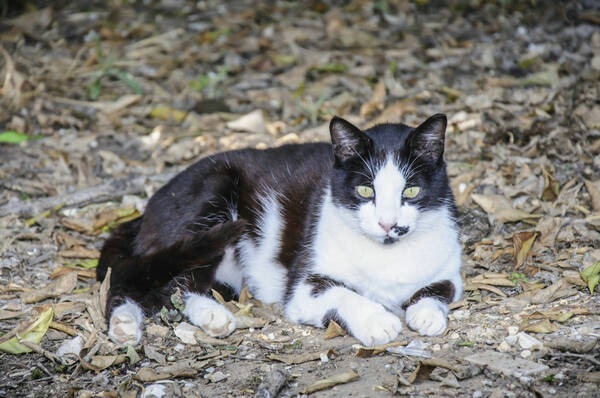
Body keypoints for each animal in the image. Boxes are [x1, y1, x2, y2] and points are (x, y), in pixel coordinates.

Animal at [97, 113, 464, 346]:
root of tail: (147, 208)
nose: (388, 224)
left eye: (411, 191)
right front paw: (377, 321)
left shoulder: (450, 270)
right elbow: (343, 294)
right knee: (140, 276)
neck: (386, 259)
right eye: (365, 190)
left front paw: (427, 315)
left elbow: (439, 289)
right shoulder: (304, 286)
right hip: (211, 198)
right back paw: (127, 324)